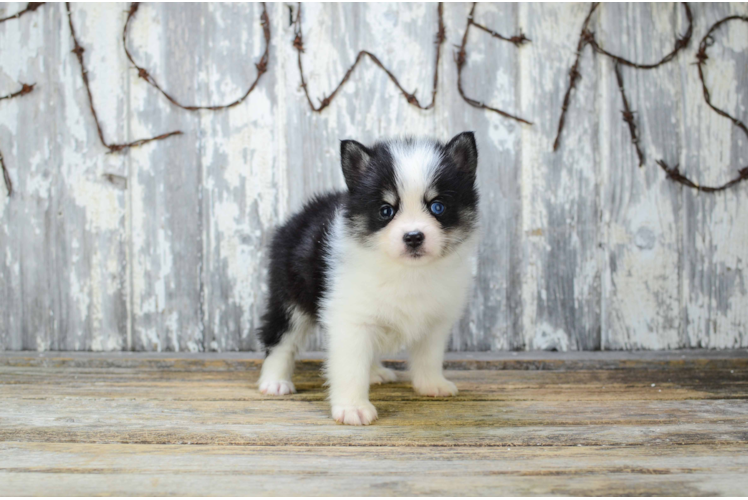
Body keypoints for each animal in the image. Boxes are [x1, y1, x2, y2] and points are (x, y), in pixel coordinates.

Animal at [258, 132, 480, 426]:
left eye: (438, 206)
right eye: (386, 211)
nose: (413, 237)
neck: (408, 271)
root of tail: (299, 216)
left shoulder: (435, 320)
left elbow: (429, 355)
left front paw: (431, 384)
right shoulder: (351, 319)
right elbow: (350, 367)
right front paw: (352, 408)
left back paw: (375, 372)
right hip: (290, 295)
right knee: (281, 338)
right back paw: (274, 381)